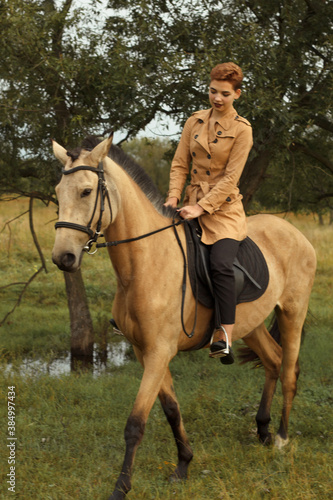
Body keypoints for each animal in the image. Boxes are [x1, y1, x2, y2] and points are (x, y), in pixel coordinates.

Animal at [50, 134, 316, 500]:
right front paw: (183, 466)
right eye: (57, 193)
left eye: (86, 191)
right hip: (250, 325)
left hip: (293, 313)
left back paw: (280, 438)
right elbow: (171, 409)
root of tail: (294, 231)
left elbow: (136, 422)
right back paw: (262, 431)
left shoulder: (159, 351)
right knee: (274, 362)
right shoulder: (145, 351)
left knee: (289, 371)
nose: (63, 258)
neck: (145, 262)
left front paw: (121, 487)